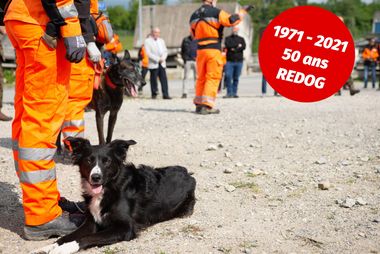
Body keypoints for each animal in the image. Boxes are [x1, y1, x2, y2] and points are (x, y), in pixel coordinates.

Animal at [35, 138, 196, 253]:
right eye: (89, 160)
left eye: (107, 161)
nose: (96, 177)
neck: (109, 188)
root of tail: (187, 173)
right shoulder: (91, 222)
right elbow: (66, 236)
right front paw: (47, 247)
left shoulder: (125, 228)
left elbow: (87, 237)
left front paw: (64, 249)